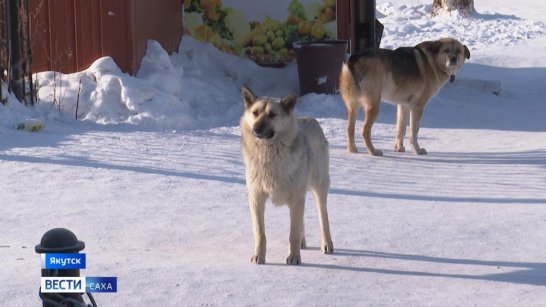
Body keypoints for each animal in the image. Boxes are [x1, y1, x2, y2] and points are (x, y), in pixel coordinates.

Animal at [336, 38, 468, 156]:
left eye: (458, 51)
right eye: (446, 50)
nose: (453, 59)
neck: (433, 62)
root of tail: (355, 58)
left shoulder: (403, 105)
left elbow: (401, 129)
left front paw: (399, 148)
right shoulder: (417, 107)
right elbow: (414, 131)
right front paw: (417, 151)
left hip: (353, 106)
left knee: (350, 128)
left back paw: (352, 149)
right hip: (374, 105)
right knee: (365, 131)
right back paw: (373, 152)